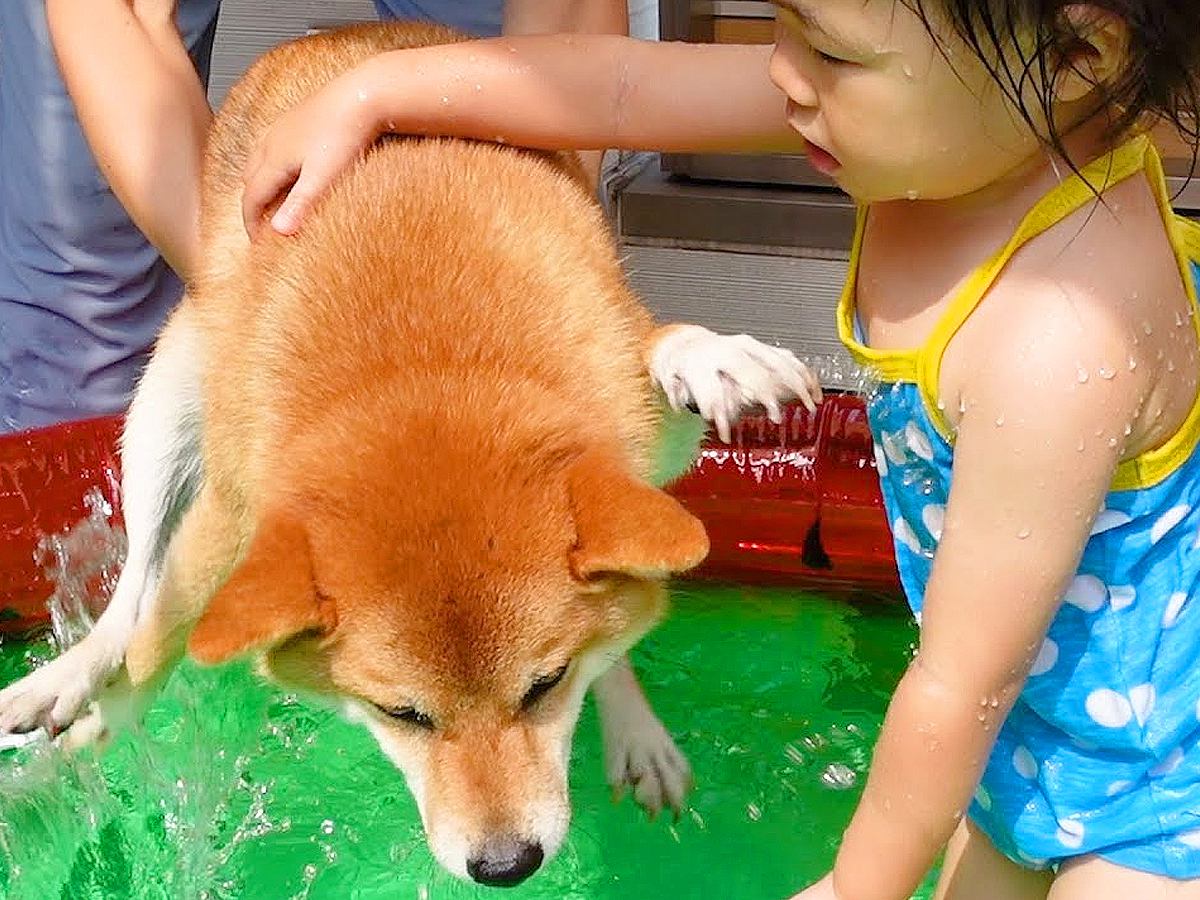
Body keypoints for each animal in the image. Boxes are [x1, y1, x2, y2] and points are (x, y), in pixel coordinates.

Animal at [0, 21, 816, 888]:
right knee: (134, 590)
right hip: (169, 396)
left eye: (546, 684)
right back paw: (66, 681)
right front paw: (86, 741)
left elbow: (658, 365)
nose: (506, 864)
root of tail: (337, 35)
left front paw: (715, 361)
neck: (429, 370)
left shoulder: (633, 426)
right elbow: (156, 640)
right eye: (400, 714)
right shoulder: (230, 517)